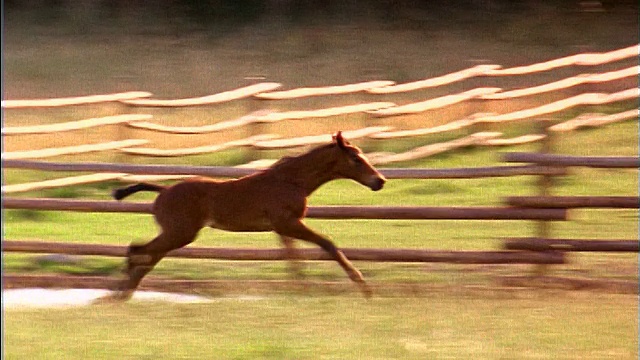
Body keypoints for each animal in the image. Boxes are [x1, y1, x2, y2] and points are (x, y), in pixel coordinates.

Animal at [107, 131, 384, 300]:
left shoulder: (283, 228)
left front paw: (301, 291)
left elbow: (294, 258)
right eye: (356, 159)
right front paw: (365, 289)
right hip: (180, 233)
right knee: (139, 252)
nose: (379, 181)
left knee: (145, 256)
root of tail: (163, 190)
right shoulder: (287, 223)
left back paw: (121, 296)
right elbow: (327, 245)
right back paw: (118, 295)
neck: (291, 181)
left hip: (175, 234)